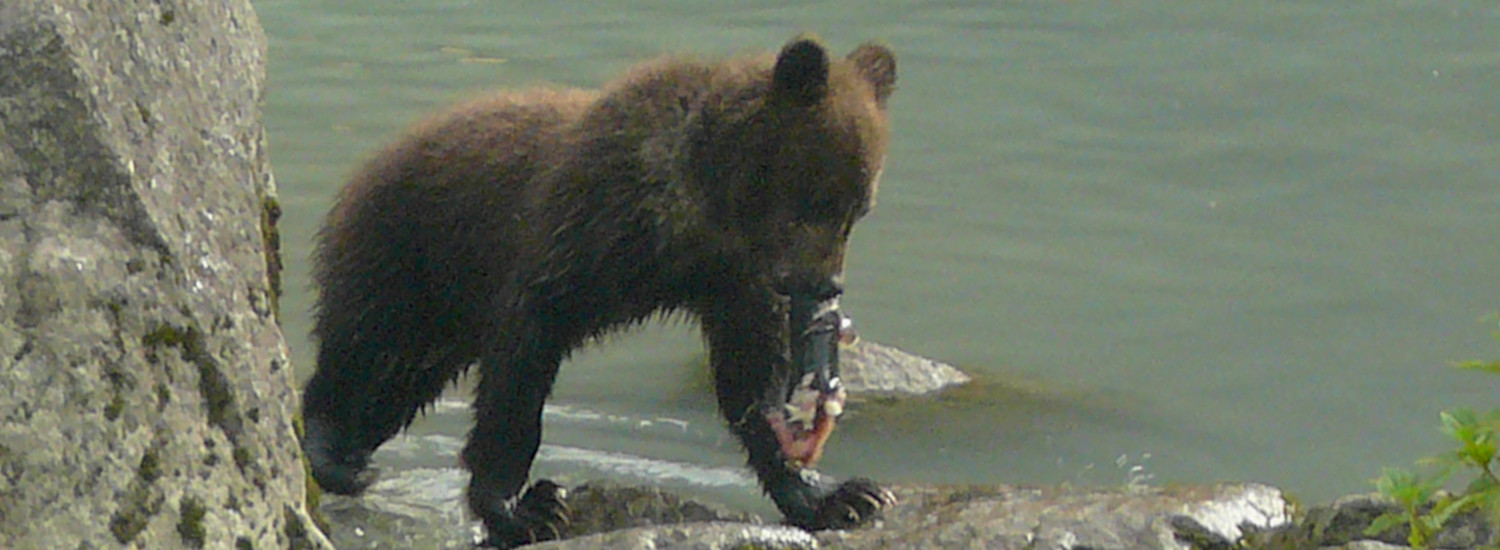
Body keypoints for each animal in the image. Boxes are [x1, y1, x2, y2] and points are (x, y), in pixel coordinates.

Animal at [298, 36, 894, 548]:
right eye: (816, 201)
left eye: (858, 209)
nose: (825, 284)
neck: (698, 211)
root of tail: (371, 162)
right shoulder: (583, 232)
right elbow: (521, 366)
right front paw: (524, 505)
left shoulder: (731, 281)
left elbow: (751, 376)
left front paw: (840, 495)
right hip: (408, 253)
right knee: (367, 351)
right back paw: (331, 450)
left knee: (399, 385)